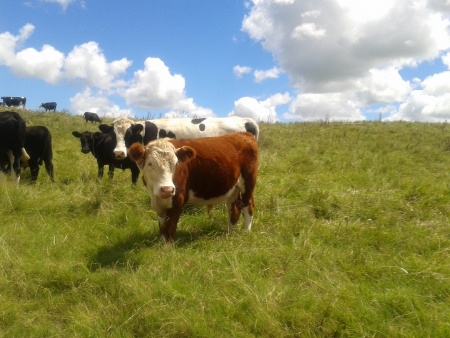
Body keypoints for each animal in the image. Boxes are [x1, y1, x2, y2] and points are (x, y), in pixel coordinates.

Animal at [128, 132, 258, 243]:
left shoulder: (178, 199)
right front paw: (162, 244)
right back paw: (230, 233)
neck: (156, 196)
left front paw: (167, 249)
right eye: (150, 164)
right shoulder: (158, 204)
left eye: (175, 164)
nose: (167, 189)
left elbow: (170, 228)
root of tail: (243, 134)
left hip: (248, 182)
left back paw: (246, 232)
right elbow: (162, 228)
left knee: (248, 205)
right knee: (234, 208)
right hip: (233, 189)